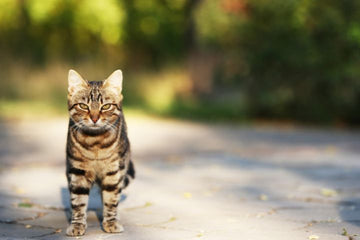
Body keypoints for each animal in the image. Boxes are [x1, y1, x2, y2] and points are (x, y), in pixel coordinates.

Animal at [65, 69, 134, 236]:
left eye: (106, 106)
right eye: (83, 106)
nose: (95, 118)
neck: (95, 142)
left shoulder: (113, 172)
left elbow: (111, 200)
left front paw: (110, 222)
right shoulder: (77, 172)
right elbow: (78, 201)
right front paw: (77, 224)